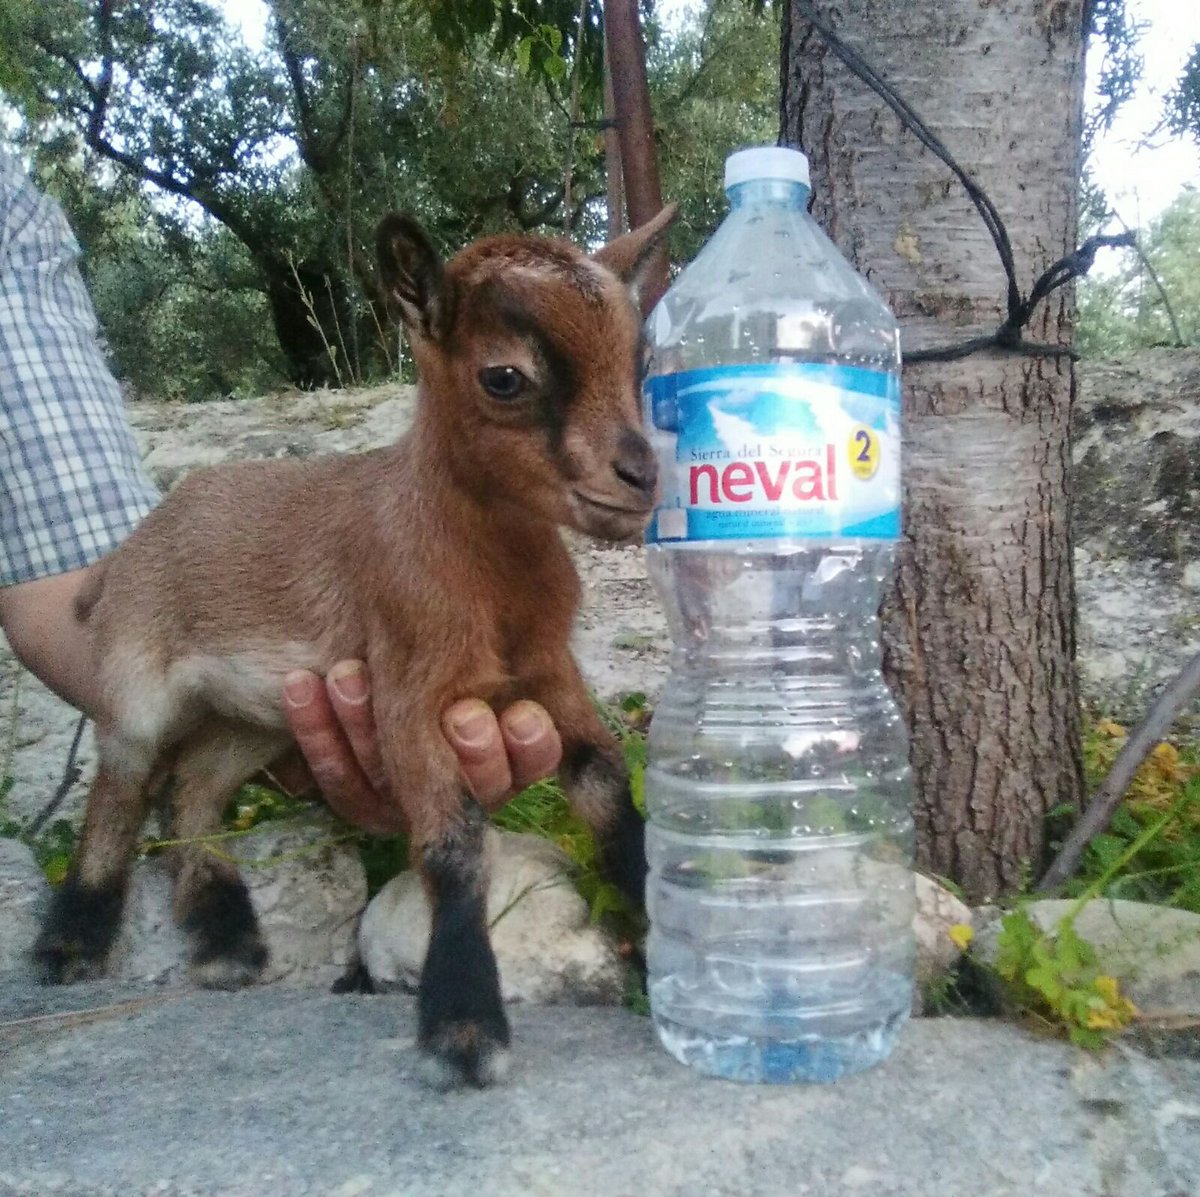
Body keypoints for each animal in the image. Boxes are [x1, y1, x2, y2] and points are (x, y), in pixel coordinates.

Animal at [33, 204, 677, 1088]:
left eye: (638, 358)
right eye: (504, 377)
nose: (639, 477)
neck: (485, 578)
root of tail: (128, 548)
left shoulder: (551, 673)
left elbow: (610, 793)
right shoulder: (405, 693)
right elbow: (452, 845)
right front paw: (463, 1031)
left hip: (255, 713)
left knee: (193, 789)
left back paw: (226, 938)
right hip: (135, 678)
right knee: (121, 788)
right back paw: (75, 938)